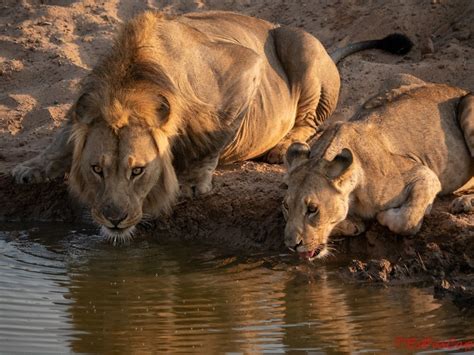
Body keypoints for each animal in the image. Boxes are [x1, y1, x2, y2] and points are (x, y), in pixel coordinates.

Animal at [10, 11, 412, 245]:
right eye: (96, 169)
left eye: (137, 171)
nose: (114, 219)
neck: (134, 84)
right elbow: (63, 135)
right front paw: (30, 168)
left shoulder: (244, 67)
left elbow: (217, 134)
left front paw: (192, 181)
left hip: (302, 46)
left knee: (309, 119)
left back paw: (283, 147)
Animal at [284, 73, 472, 262]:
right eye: (286, 206)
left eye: (312, 209)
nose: (291, 245)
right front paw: (353, 223)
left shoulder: (425, 174)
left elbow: (407, 220)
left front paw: (383, 216)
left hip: (467, 103)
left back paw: (464, 202)